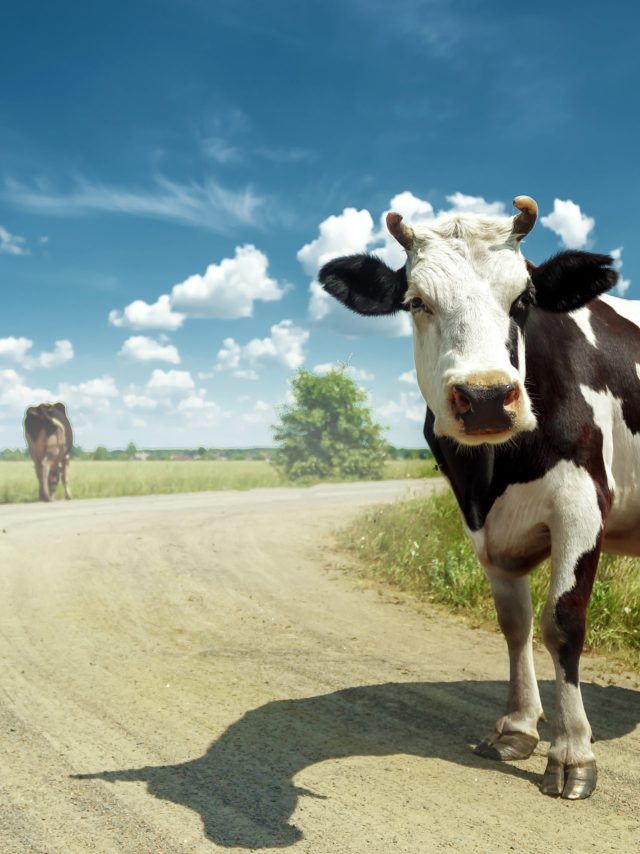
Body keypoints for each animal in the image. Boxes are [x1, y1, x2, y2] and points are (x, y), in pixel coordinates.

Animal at [318, 196, 630, 800]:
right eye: (416, 302)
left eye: (524, 299)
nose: (485, 397)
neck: (495, 471)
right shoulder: (480, 520)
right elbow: (515, 622)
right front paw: (516, 727)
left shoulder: (584, 504)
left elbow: (563, 622)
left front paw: (572, 750)